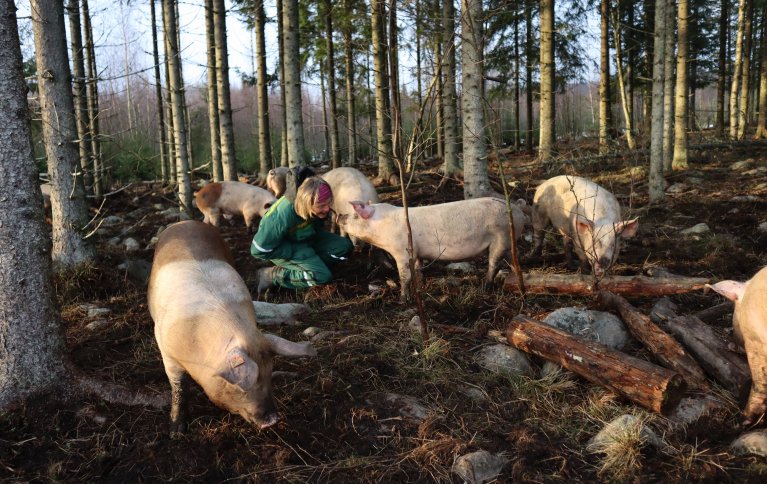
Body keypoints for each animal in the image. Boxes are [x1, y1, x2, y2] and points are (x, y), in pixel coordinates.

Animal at [148, 221, 316, 432]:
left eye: (269, 374)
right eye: (240, 387)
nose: (273, 419)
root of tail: (185, 222)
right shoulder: (168, 353)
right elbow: (179, 388)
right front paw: (176, 432)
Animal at [336, 198, 528, 298]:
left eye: (355, 215)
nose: (339, 215)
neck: (383, 227)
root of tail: (517, 209)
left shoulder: (402, 252)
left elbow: (404, 276)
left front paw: (402, 298)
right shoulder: (417, 253)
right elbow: (418, 271)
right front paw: (421, 289)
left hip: (501, 237)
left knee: (494, 264)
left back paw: (485, 286)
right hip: (509, 243)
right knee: (513, 259)